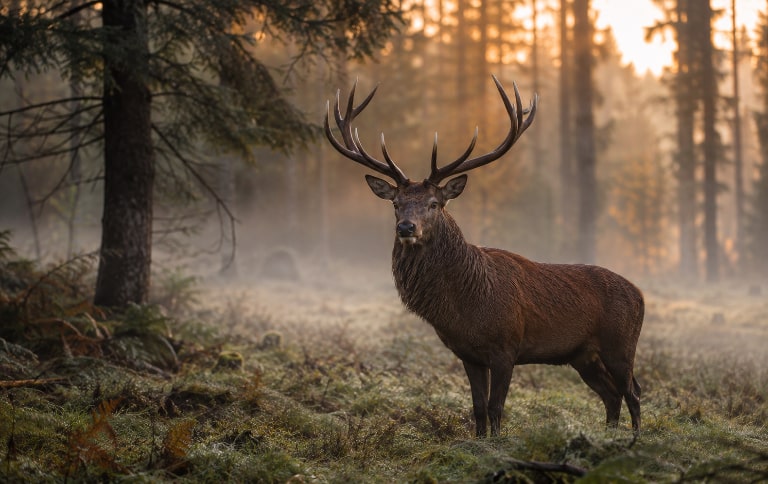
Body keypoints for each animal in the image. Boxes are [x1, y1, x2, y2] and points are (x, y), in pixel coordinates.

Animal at [324, 75, 644, 438]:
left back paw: (634, 437)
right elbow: (477, 408)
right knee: (611, 394)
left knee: (632, 392)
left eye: (434, 204)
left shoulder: (507, 347)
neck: (465, 307)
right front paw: (479, 442)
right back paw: (608, 436)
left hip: (620, 344)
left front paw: (497, 442)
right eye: (396, 203)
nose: (406, 227)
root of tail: (640, 294)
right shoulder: (468, 354)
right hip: (582, 355)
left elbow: (495, 408)